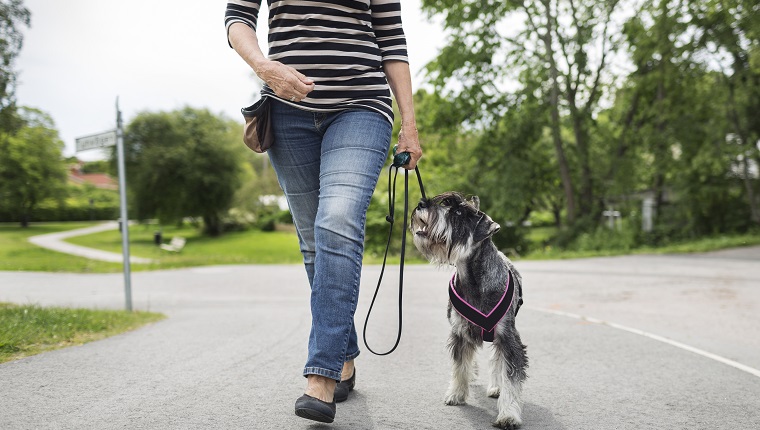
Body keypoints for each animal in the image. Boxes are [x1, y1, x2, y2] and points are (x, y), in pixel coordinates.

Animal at [410, 192, 528, 430]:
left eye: (457, 213)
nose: (420, 204)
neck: (472, 280)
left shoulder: (508, 338)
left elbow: (510, 375)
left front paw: (508, 415)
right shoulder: (459, 333)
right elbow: (460, 365)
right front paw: (456, 394)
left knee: (497, 360)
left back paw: (496, 387)